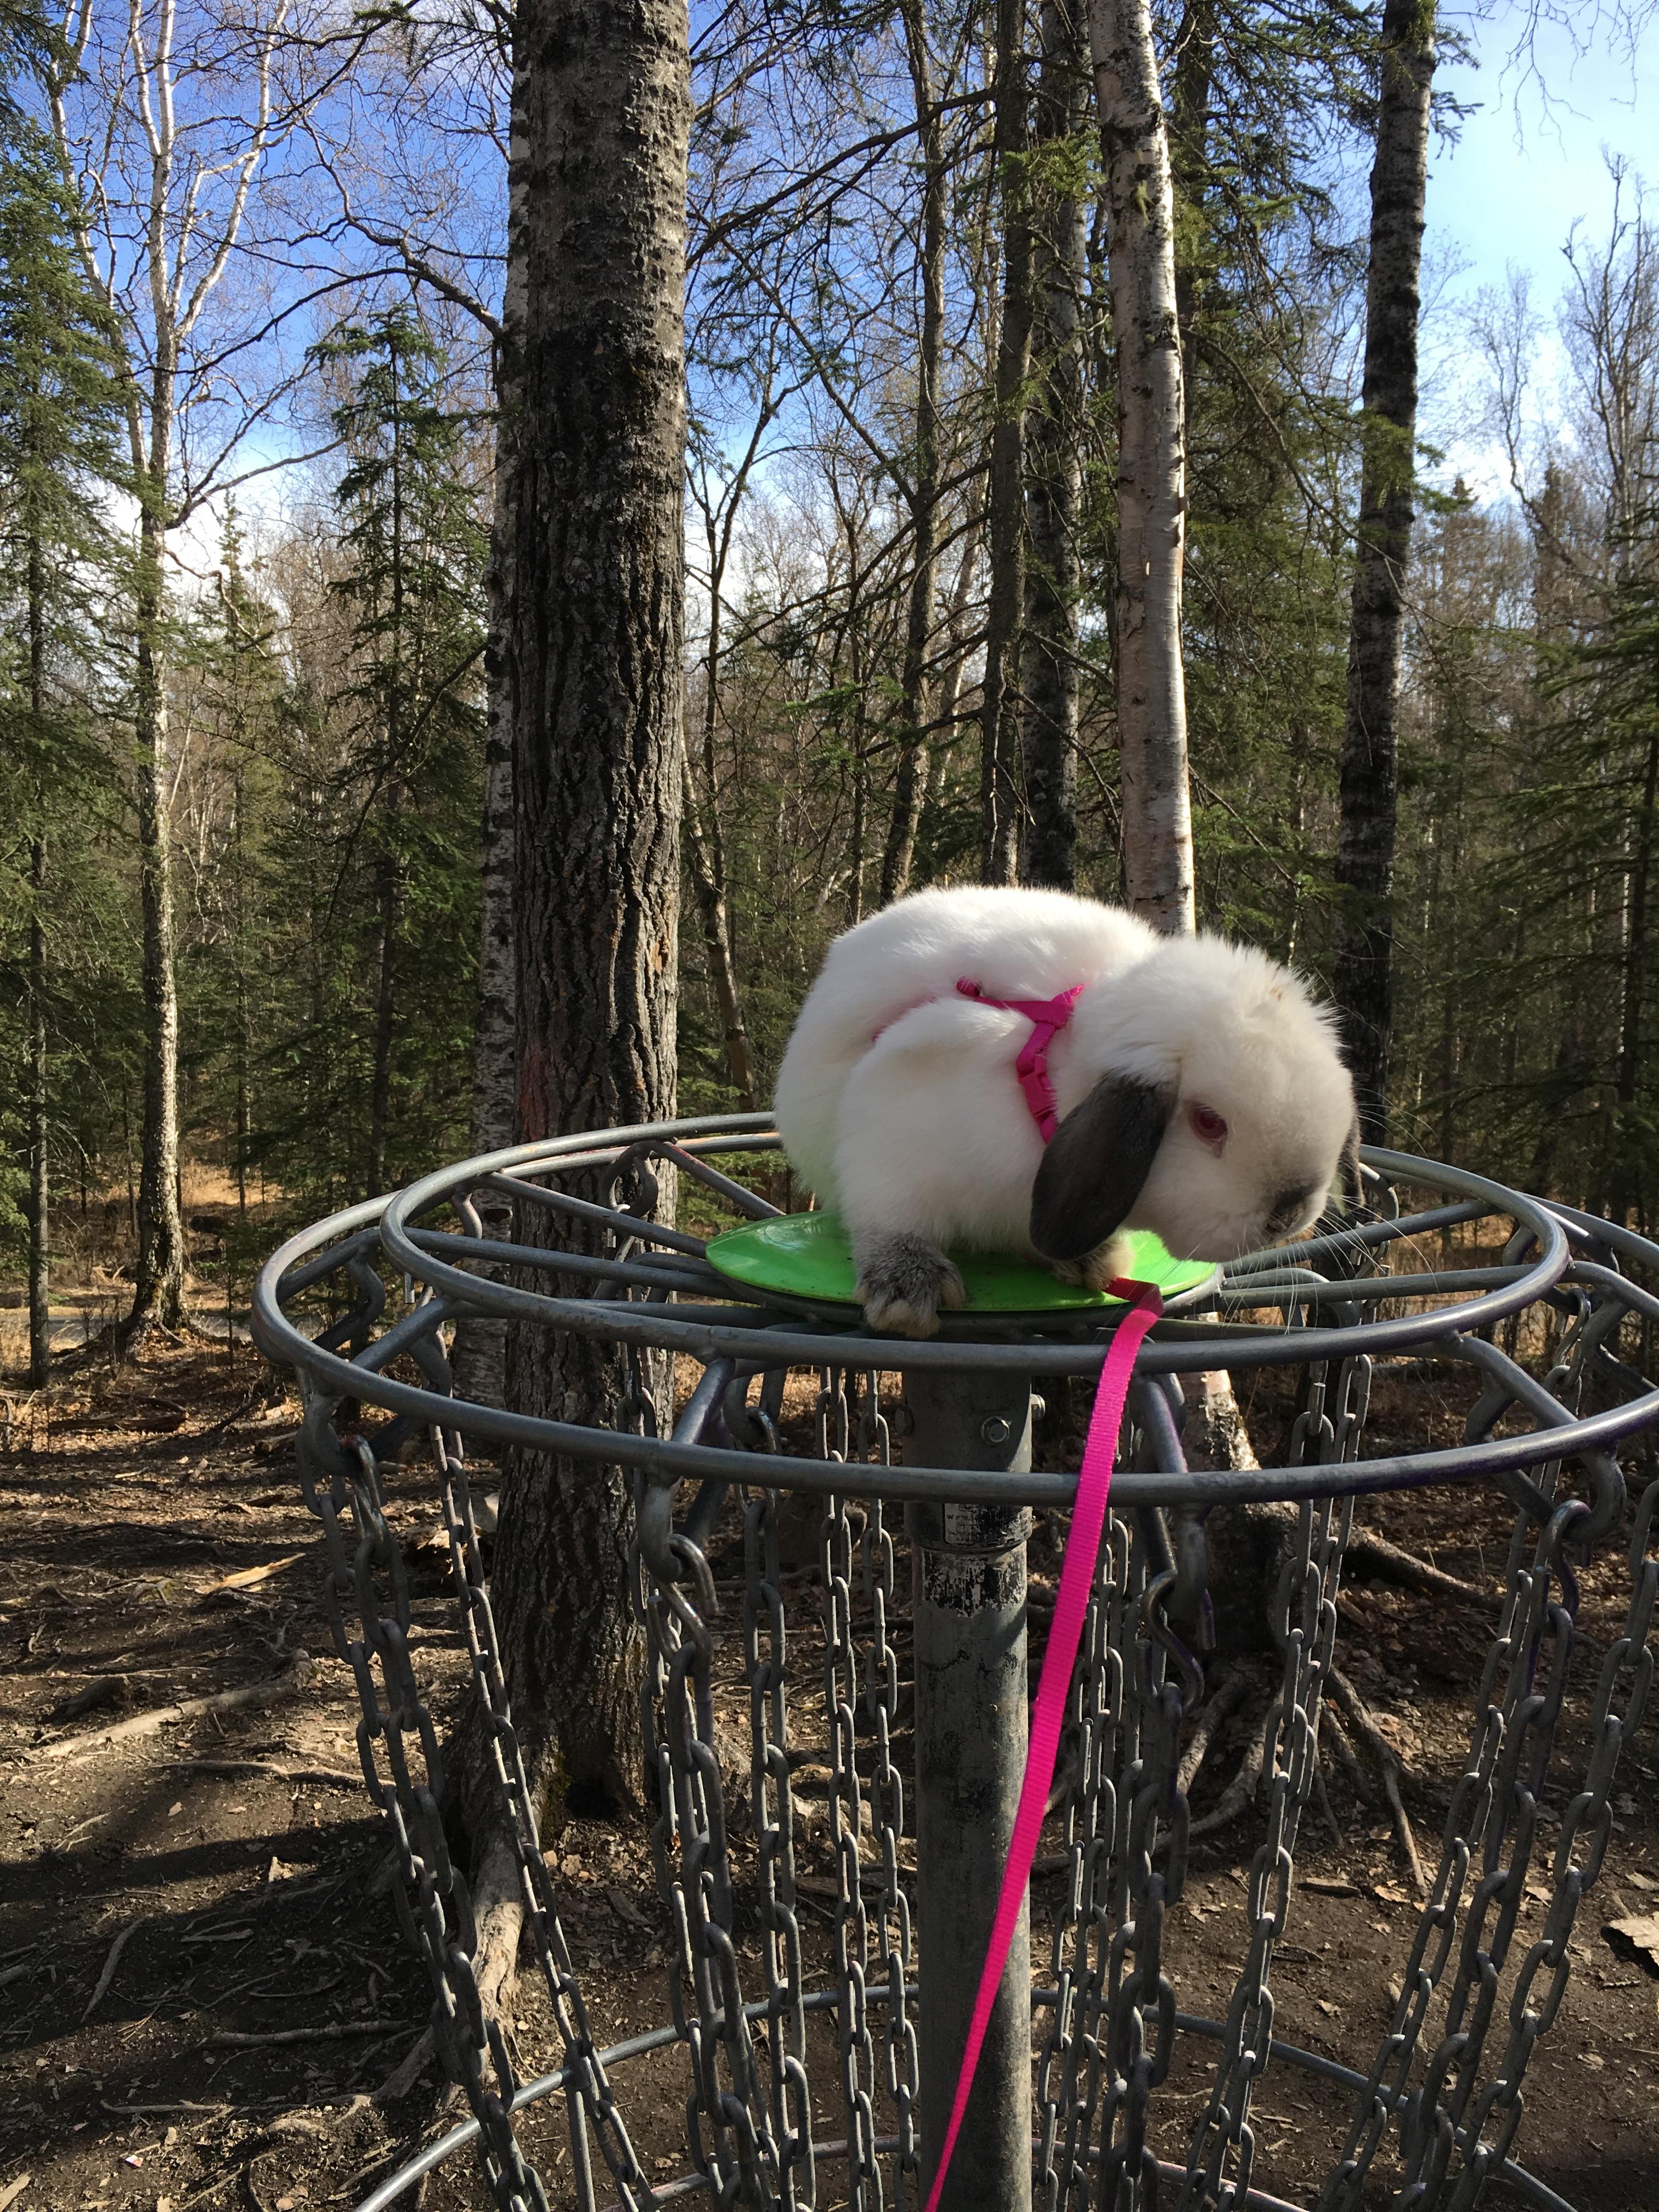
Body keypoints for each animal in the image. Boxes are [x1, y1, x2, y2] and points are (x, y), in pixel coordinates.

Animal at [774, 880, 1353, 1327]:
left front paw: (1094, 1261)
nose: (1290, 1211)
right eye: (1208, 1123)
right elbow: (889, 1217)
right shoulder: (893, 1127)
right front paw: (906, 1289)